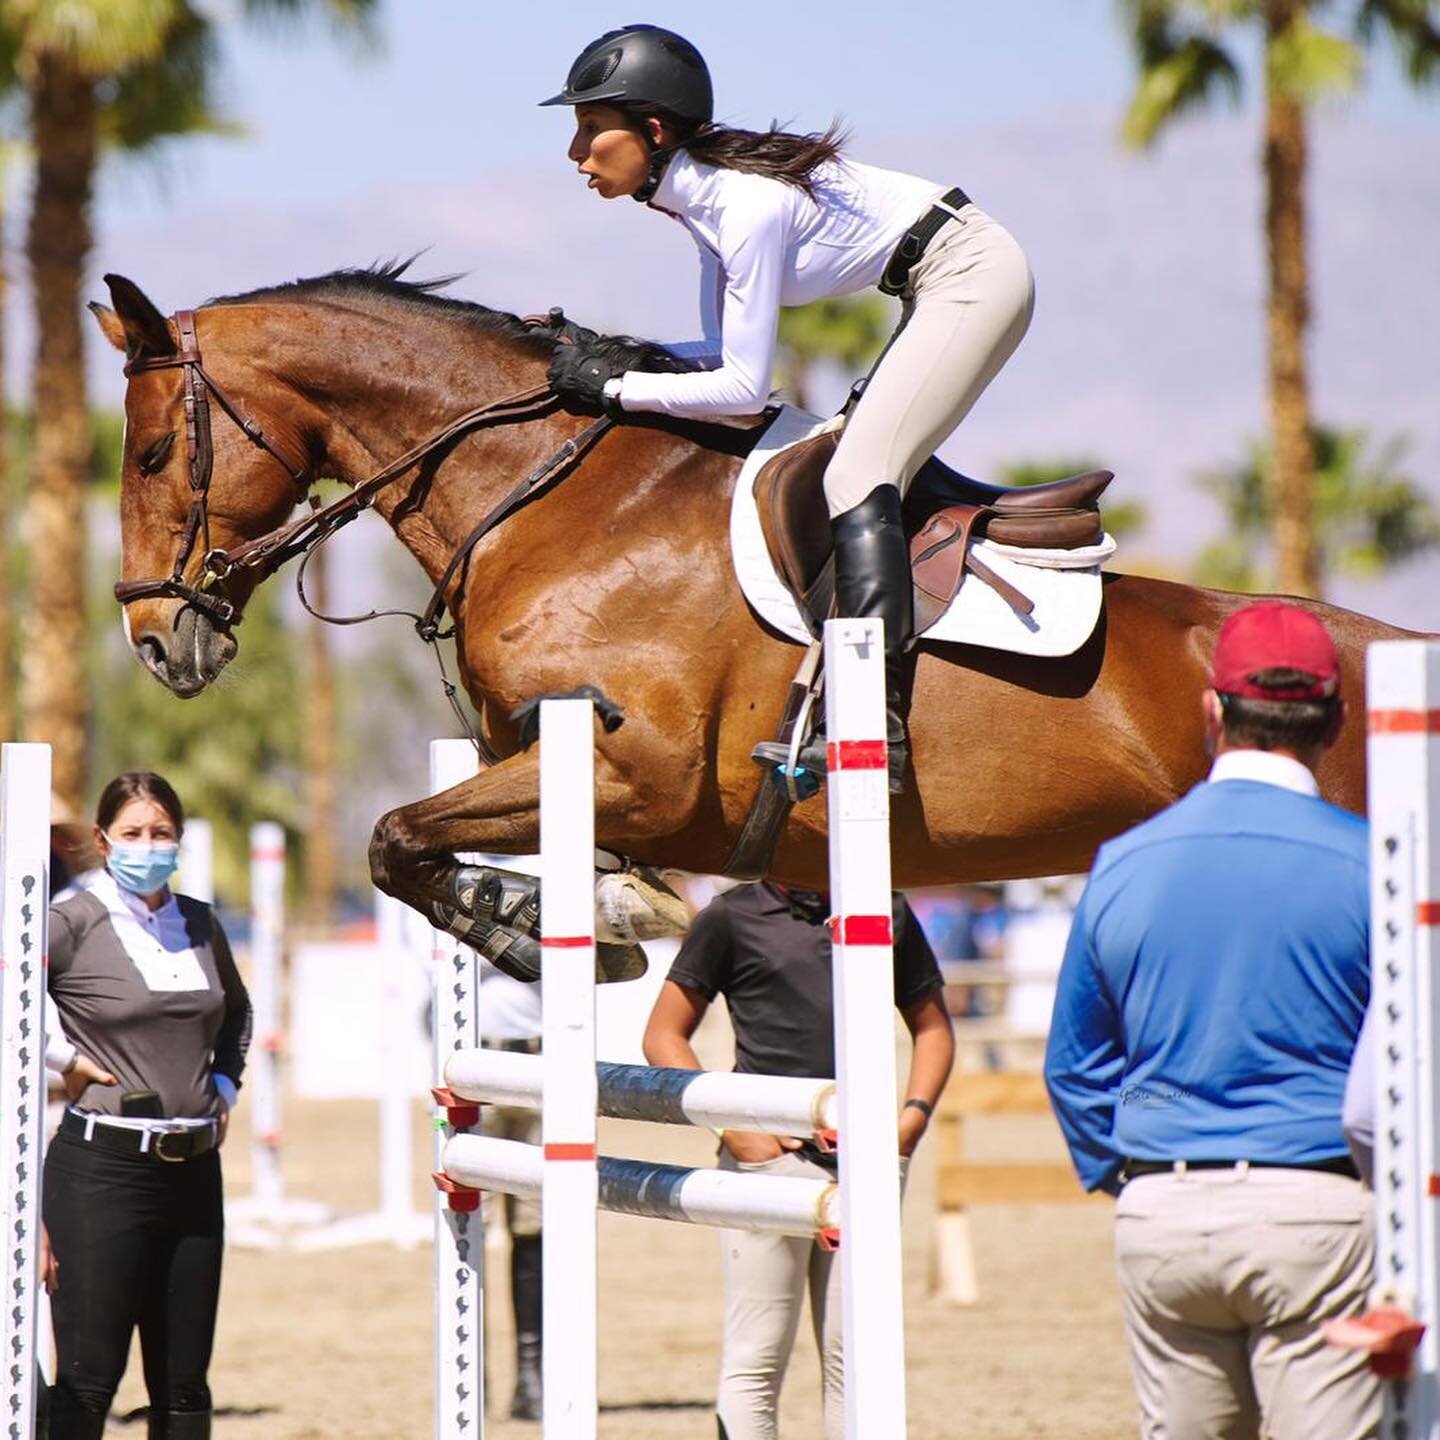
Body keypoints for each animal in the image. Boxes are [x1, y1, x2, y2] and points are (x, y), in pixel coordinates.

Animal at [92, 270, 1416, 961]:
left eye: (154, 452)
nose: (155, 642)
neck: (548, 504)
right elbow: (410, 843)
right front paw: (570, 915)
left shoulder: (639, 773)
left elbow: (393, 836)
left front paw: (557, 928)